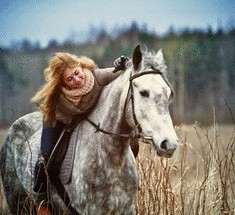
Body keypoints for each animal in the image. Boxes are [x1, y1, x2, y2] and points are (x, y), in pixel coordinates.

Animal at [0, 44, 178, 214]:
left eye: (169, 93)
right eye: (143, 92)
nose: (169, 144)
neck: (110, 159)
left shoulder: (126, 210)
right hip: (18, 203)